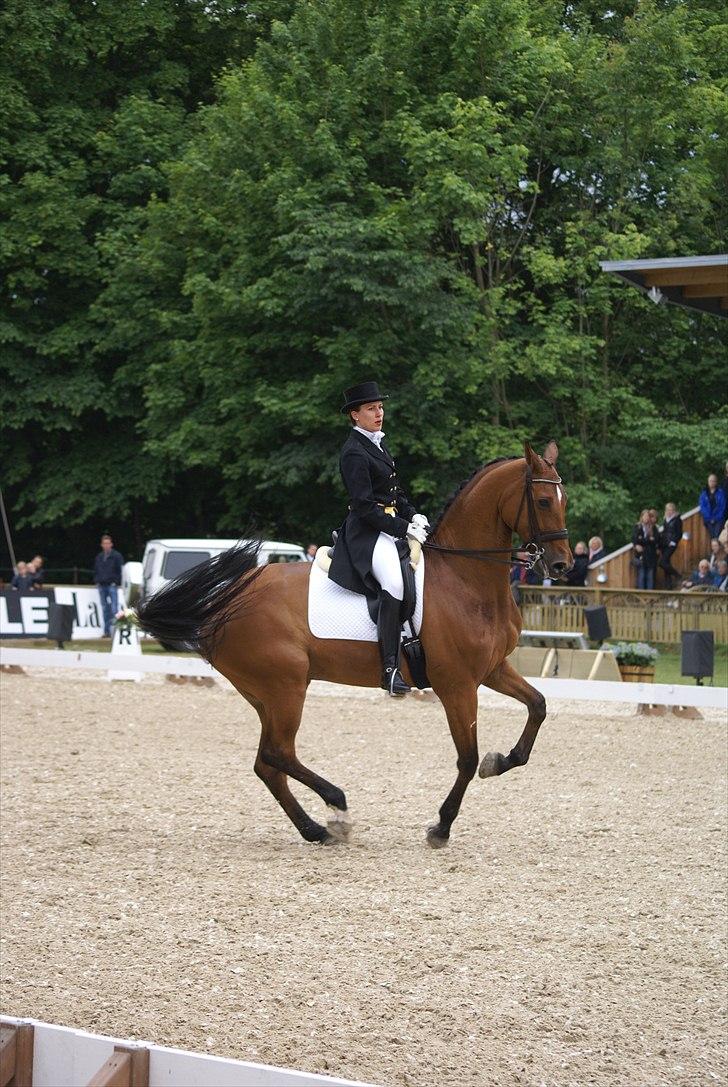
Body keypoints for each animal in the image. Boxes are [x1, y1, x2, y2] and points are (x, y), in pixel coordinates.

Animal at [135, 436, 569, 843]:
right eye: (544, 500)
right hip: (285, 686)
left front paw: (501, 761)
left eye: (563, 499)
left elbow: (538, 706)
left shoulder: (492, 669)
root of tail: (223, 601)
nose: (562, 564)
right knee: (278, 753)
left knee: (267, 763)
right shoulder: (457, 684)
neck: (464, 577)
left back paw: (315, 830)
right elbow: (466, 757)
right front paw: (441, 827)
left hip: (264, 694)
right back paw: (337, 806)